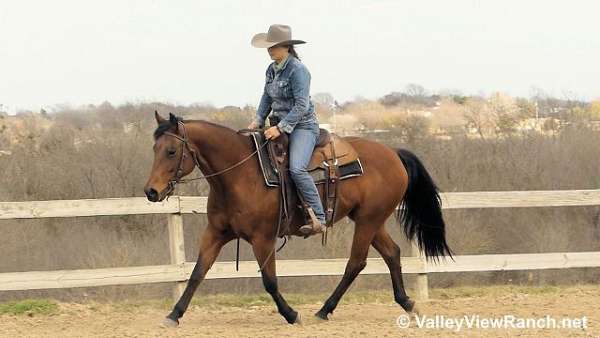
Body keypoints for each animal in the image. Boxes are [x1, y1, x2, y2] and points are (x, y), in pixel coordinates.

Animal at [145, 112, 450, 326]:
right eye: (154, 149)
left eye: (171, 151)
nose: (151, 191)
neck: (240, 175)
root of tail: (393, 154)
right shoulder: (216, 233)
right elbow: (198, 272)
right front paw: (174, 314)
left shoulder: (263, 239)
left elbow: (269, 281)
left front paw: (291, 314)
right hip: (369, 220)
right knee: (392, 253)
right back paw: (407, 303)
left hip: (368, 220)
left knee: (356, 263)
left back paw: (324, 310)